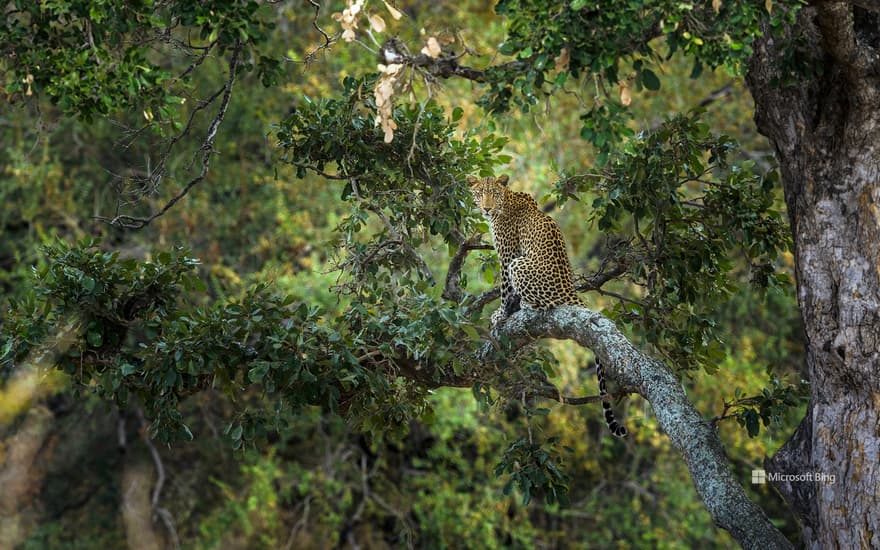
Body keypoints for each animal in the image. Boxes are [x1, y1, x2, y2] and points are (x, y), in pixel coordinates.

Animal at [468, 175, 624, 438]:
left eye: (494, 194)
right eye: (480, 194)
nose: (487, 208)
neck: (507, 200)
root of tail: (569, 289)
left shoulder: (508, 256)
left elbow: (505, 292)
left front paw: (501, 315)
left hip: (520, 264)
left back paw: (527, 305)